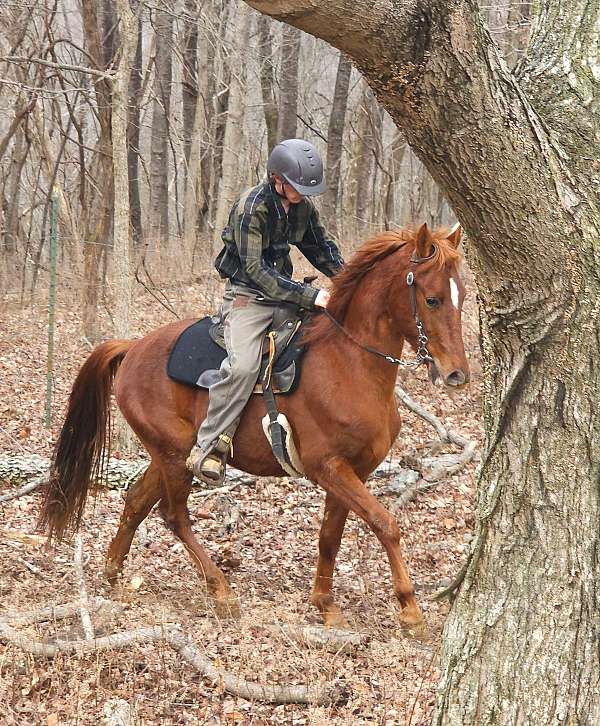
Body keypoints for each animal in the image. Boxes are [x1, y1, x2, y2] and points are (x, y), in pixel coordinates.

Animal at [39, 222, 469, 635]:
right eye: (432, 299)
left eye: (462, 296)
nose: (456, 374)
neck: (349, 363)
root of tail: (133, 347)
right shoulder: (328, 467)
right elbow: (385, 524)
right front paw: (410, 612)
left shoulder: (354, 471)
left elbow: (330, 535)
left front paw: (326, 605)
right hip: (174, 456)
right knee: (174, 515)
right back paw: (221, 590)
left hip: (168, 455)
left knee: (136, 501)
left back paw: (112, 573)